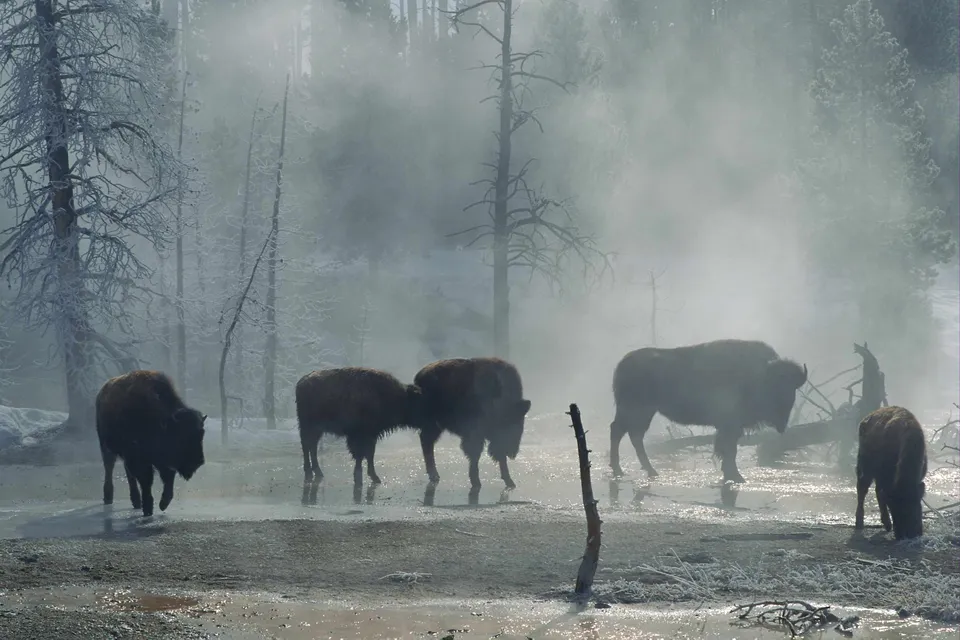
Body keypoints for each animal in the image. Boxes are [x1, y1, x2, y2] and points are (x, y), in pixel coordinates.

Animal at [96, 370, 207, 517]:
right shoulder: (139, 459)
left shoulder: (161, 461)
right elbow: (147, 481)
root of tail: (102, 391)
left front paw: (163, 504)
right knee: (109, 467)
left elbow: (168, 479)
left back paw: (136, 501)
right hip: (106, 447)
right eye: (181, 436)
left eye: (202, 434)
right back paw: (109, 498)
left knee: (128, 473)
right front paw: (148, 508)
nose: (198, 461)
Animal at [294, 367, 423, 485]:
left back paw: (317, 472)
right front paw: (370, 476)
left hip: (316, 429)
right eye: (419, 402)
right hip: (309, 427)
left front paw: (369, 475)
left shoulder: (371, 435)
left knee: (312, 446)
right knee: (307, 446)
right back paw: (310, 472)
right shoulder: (363, 435)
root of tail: (302, 382)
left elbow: (367, 454)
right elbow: (363, 454)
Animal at [414, 357, 531, 490]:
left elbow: (498, 458)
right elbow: (475, 455)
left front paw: (509, 481)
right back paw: (434, 475)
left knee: (427, 442)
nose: (513, 453)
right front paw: (476, 482)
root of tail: (420, 375)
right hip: (433, 425)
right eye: (511, 421)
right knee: (426, 442)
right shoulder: (475, 434)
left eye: (520, 422)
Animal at [610, 339, 807, 483]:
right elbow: (728, 449)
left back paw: (646, 471)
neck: (759, 375)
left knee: (631, 435)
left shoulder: (730, 427)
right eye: (774, 386)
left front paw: (731, 474)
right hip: (636, 410)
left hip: (642, 413)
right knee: (621, 432)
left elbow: (728, 448)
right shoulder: (730, 426)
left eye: (792, 388)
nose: (782, 421)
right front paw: (736, 476)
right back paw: (625, 470)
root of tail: (622, 364)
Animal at [855, 405, 928, 540]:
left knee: (876, 491)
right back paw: (860, 523)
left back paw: (887, 525)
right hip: (865, 467)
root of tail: (867, 418)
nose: (908, 534)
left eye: (916, 503)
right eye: (894, 507)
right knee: (862, 488)